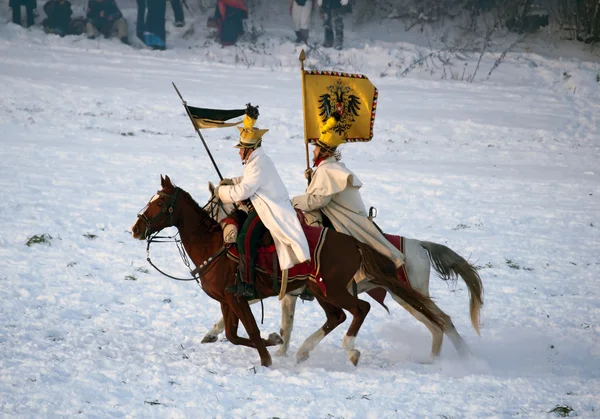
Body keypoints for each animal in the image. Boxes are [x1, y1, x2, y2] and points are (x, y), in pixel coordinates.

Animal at [129, 176, 442, 368]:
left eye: (160, 202)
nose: (136, 228)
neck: (215, 244)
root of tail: (354, 242)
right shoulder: (227, 301)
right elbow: (234, 334)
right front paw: (273, 343)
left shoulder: (238, 298)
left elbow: (251, 331)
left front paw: (267, 357)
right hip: (321, 291)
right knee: (338, 316)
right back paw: (304, 351)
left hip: (335, 289)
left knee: (361, 309)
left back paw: (351, 349)